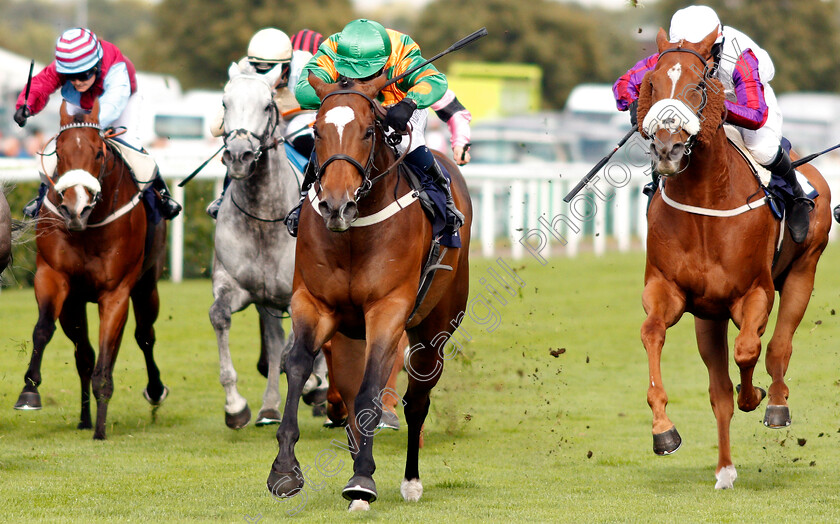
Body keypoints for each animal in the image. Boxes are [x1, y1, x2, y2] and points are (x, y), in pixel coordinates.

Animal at [13, 100, 168, 440]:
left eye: (99, 152)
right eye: (58, 152)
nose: (76, 208)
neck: (89, 227)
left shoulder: (116, 293)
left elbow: (109, 356)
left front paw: (101, 429)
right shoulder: (53, 277)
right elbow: (43, 329)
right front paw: (29, 392)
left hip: (146, 286)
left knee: (144, 336)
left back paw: (153, 391)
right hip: (74, 304)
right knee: (84, 355)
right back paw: (84, 418)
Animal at [210, 63, 324, 428]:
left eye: (266, 105)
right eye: (225, 102)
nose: (239, 156)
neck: (263, 217)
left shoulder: (299, 293)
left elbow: (296, 349)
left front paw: (314, 382)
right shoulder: (237, 285)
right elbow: (220, 316)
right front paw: (235, 406)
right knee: (274, 342)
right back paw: (271, 406)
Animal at [266, 72, 470, 508]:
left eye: (367, 131)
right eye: (316, 131)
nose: (335, 205)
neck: (354, 233)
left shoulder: (388, 309)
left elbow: (374, 386)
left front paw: (362, 480)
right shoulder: (313, 303)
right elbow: (297, 365)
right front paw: (285, 470)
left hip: (435, 329)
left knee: (416, 401)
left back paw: (408, 482)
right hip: (349, 335)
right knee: (348, 387)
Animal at [640, 27, 832, 488]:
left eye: (697, 85)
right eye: (650, 84)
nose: (667, 150)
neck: (706, 202)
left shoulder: (755, 292)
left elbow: (749, 350)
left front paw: (757, 395)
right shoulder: (669, 291)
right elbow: (652, 332)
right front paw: (663, 430)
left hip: (803, 272)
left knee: (778, 348)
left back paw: (775, 402)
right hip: (708, 318)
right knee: (719, 392)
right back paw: (725, 469)